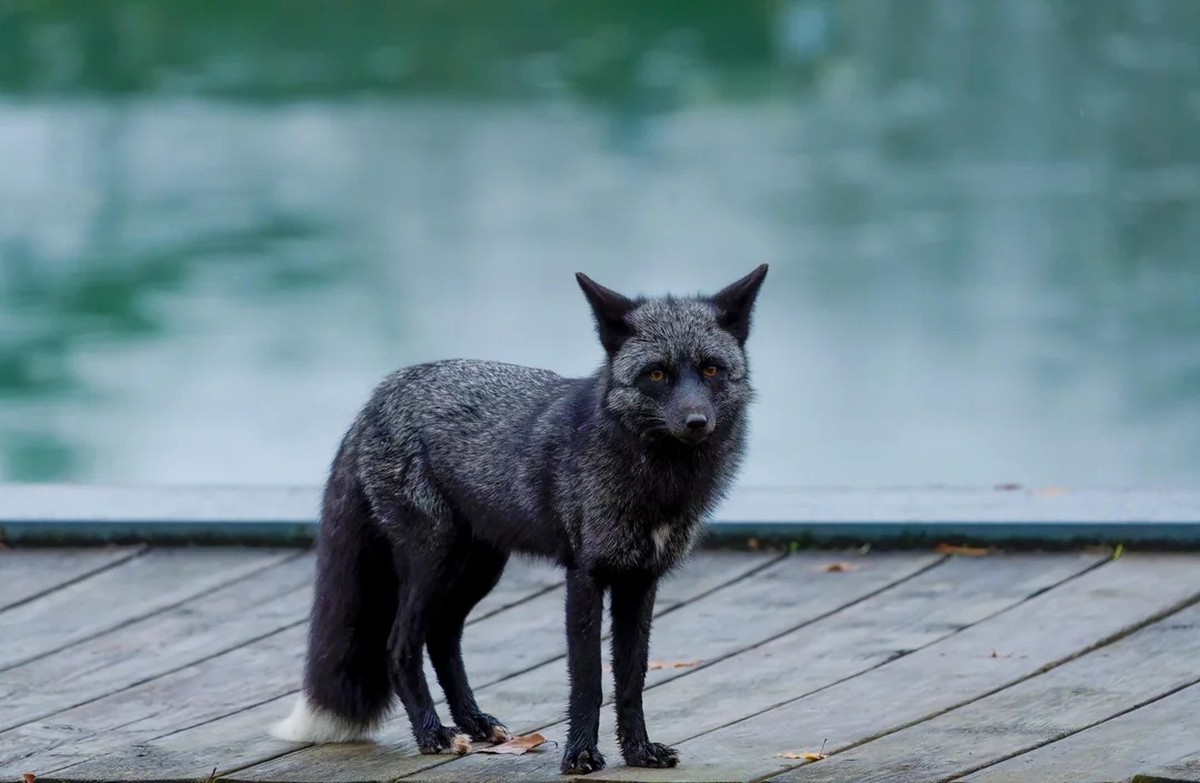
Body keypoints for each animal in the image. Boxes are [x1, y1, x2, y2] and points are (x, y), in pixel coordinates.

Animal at [271, 264, 768, 774]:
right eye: (657, 374)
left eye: (711, 369)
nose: (696, 421)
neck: (659, 479)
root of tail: (380, 394)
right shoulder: (585, 576)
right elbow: (589, 680)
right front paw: (580, 754)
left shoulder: (640, 580)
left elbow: (632, 678)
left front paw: (638, 751)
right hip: (433, 560)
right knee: (400, 646)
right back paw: (433, 734)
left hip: (478, 568)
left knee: (442, 637)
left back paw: (473, 722)